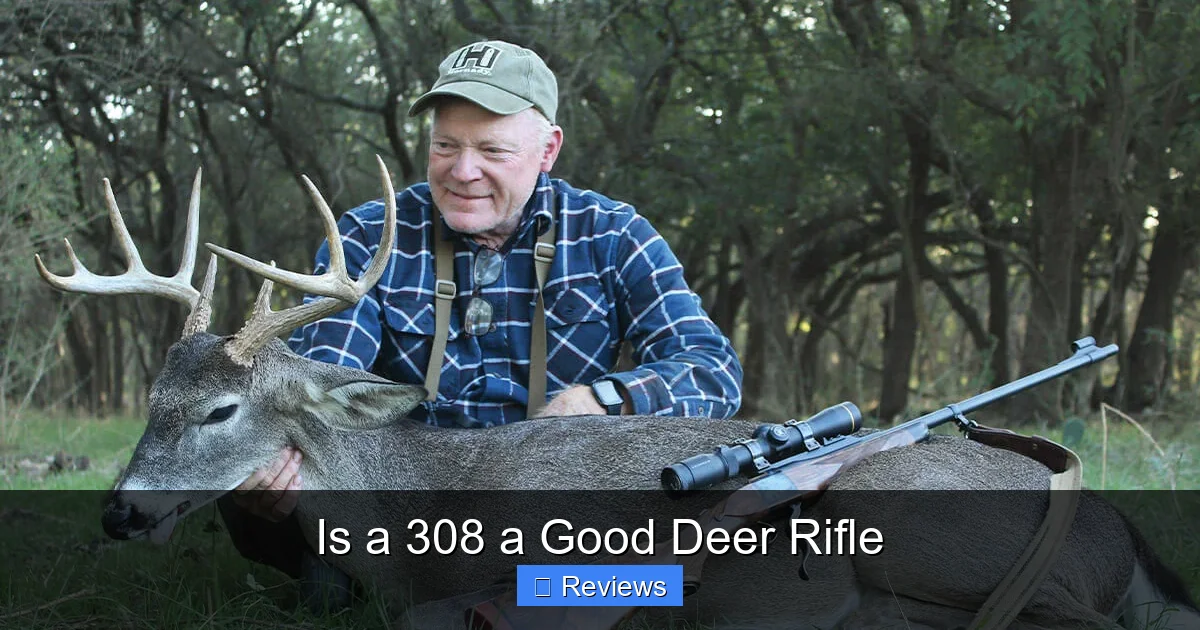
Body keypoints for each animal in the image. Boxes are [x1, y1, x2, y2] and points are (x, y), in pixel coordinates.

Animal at [35, 157, 1198, 629]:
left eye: (223, 410)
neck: (416, 511)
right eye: (152, 396)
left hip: (902, 516)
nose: (119, 510)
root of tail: (1116, 527)